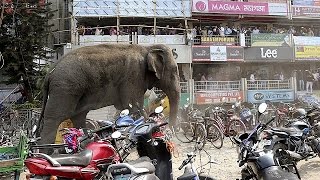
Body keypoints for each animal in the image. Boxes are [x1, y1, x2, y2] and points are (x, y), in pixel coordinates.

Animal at [37, 43, 180, 146]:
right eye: (174, 71)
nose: (172, 133)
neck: (147, 47)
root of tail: (49, 74)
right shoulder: (133, 76)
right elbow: (134, 106)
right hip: (65, 88)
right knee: (54, 118)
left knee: (78, 116)